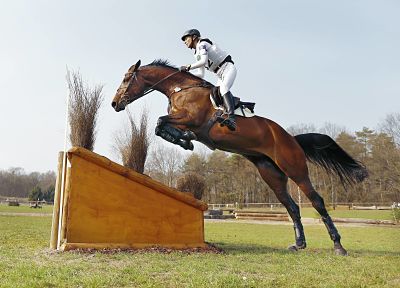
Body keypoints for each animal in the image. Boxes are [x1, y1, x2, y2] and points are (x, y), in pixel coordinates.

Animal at [111, 59, 368, 255]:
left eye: (126, 79)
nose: (114, 103)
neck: (181, 89)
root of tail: (291, 138)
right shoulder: (184, 122)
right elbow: (160, 126)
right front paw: (185, 140)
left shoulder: (191, 119)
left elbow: (160, 122)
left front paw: (185, 139)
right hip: (270, 173)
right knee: (292, 207)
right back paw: (299, 244)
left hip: (294, 168)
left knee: (316, 201)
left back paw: (338, 246)